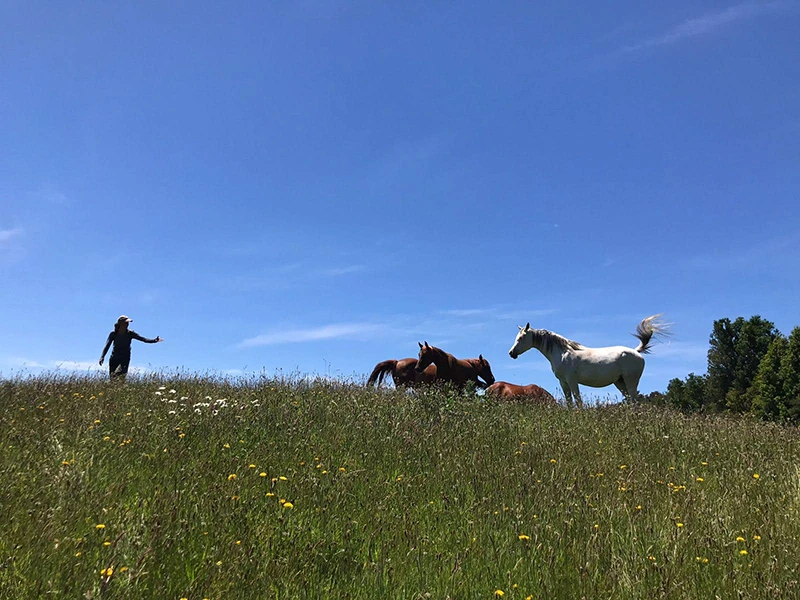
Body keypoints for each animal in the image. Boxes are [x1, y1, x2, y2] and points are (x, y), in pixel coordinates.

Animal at [508, 315, 669, 407]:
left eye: (521, 338)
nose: (511, 353)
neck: (562, 353)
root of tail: (636, 351)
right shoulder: (563, 382)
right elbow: (569, 402)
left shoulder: (572, 381)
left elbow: (578, 400)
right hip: (620, 382)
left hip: (631, 381)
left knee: (635, 401)